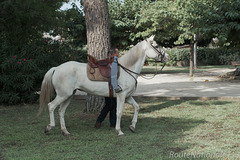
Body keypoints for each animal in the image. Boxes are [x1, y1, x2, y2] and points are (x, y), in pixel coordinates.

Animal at [38, 35, 169, 136]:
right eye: (156, 46)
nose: (167, 57)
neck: (127, 69)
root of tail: (56, 68)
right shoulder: (122, 96)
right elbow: (119, 113)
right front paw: (119, 131)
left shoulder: (127, 96)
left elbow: (137, 107)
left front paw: (132, 126)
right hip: (62, 95)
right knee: (51, 106)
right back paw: (49, 127)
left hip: (69, 96)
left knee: (61, 111)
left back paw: (65, 131)